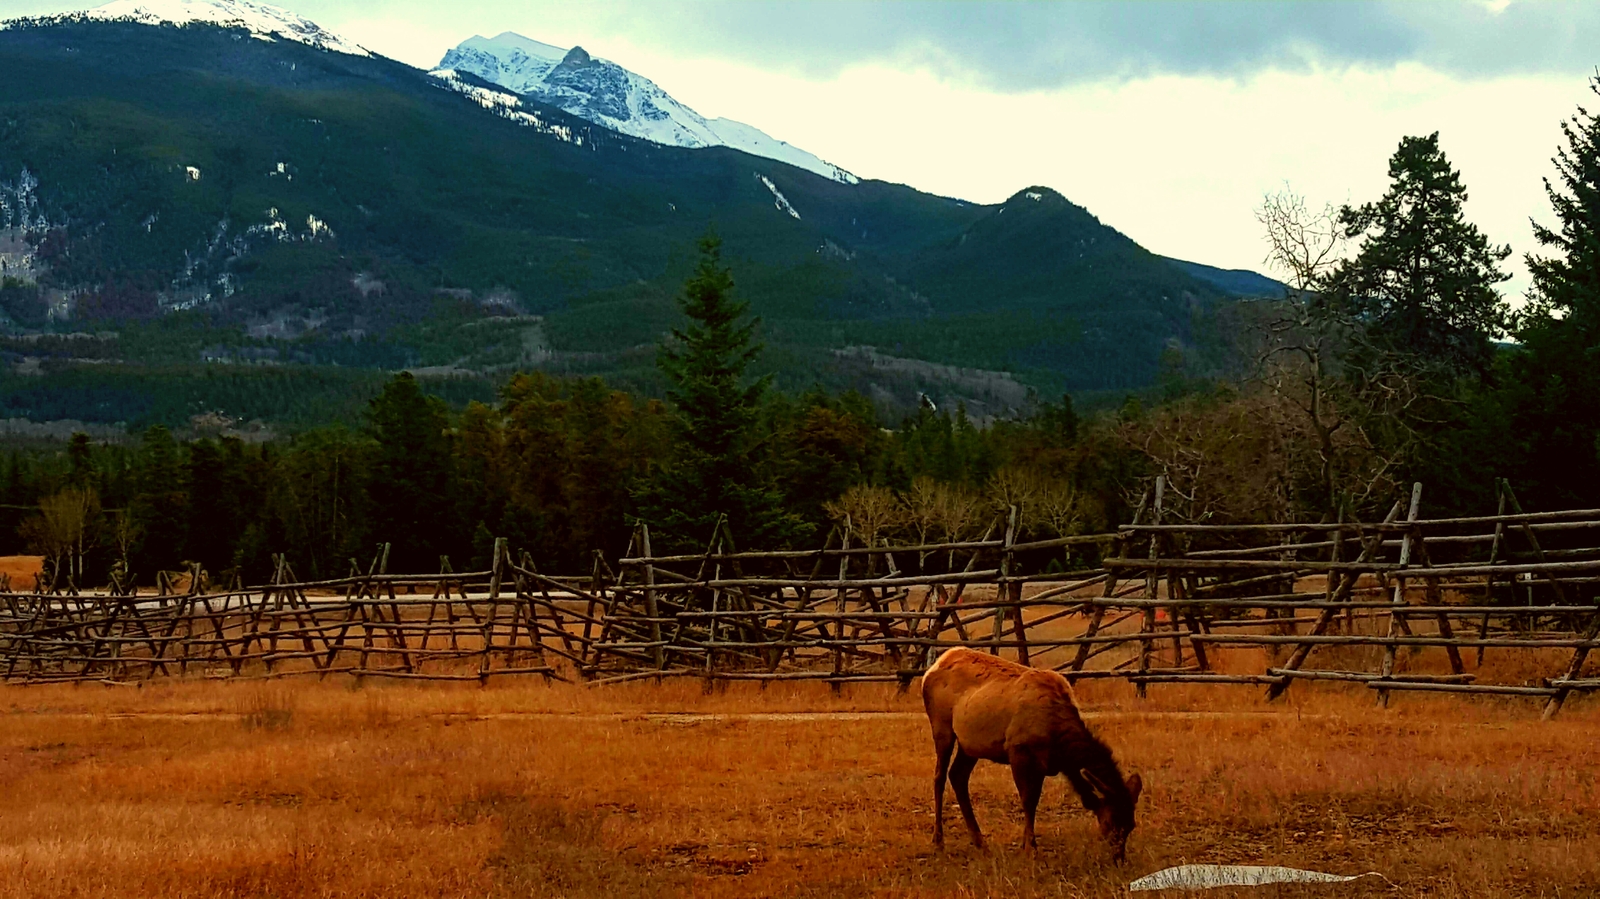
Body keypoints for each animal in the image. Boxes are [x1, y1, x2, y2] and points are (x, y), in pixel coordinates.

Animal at [921, 643, 1145, 851]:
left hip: (970, 744)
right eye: (1111, 822)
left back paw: (979, 841)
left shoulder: (1049, 764)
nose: (1118, 856)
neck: (1061, 745)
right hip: (942, 727)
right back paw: (938, 840)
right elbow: (1029, 801)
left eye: (1131, 825)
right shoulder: (1019, 752)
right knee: (939, 777)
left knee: (957, 775)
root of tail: (933, 667)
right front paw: (1030, 847)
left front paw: (1026, 844)